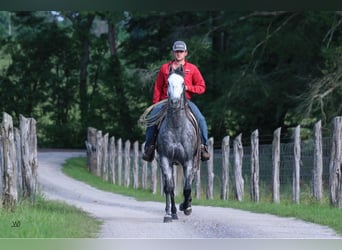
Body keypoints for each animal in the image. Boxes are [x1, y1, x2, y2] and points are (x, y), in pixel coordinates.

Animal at [157, 66, 202, 223]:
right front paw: (168, 214)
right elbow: (169, 188)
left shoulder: (188, 161)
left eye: (183, 83)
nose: (175, 102)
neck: (177, 126)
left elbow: (187, 188)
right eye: (168, 82)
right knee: (168, 186)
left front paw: (186, 206)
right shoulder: (165, 159)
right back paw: (173, 213)